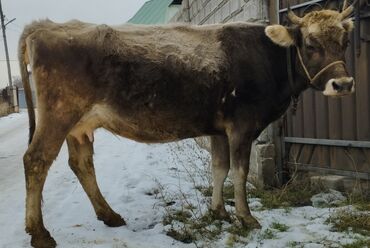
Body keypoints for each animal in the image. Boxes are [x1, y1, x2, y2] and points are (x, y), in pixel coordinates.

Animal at [19, 3, 356, 248]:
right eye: (310, 43)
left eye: (344, 41)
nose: (343, 84)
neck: (268, 58)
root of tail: (44, 26)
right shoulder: (242, 126)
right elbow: (240, 171)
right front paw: (246, 218)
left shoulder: (219, 130)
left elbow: (219, 169)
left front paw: (219, 212)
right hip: (59, 114)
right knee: (36, 161)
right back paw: (40, 233)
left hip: (79, 125)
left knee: (81, 164)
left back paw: (110, 215)